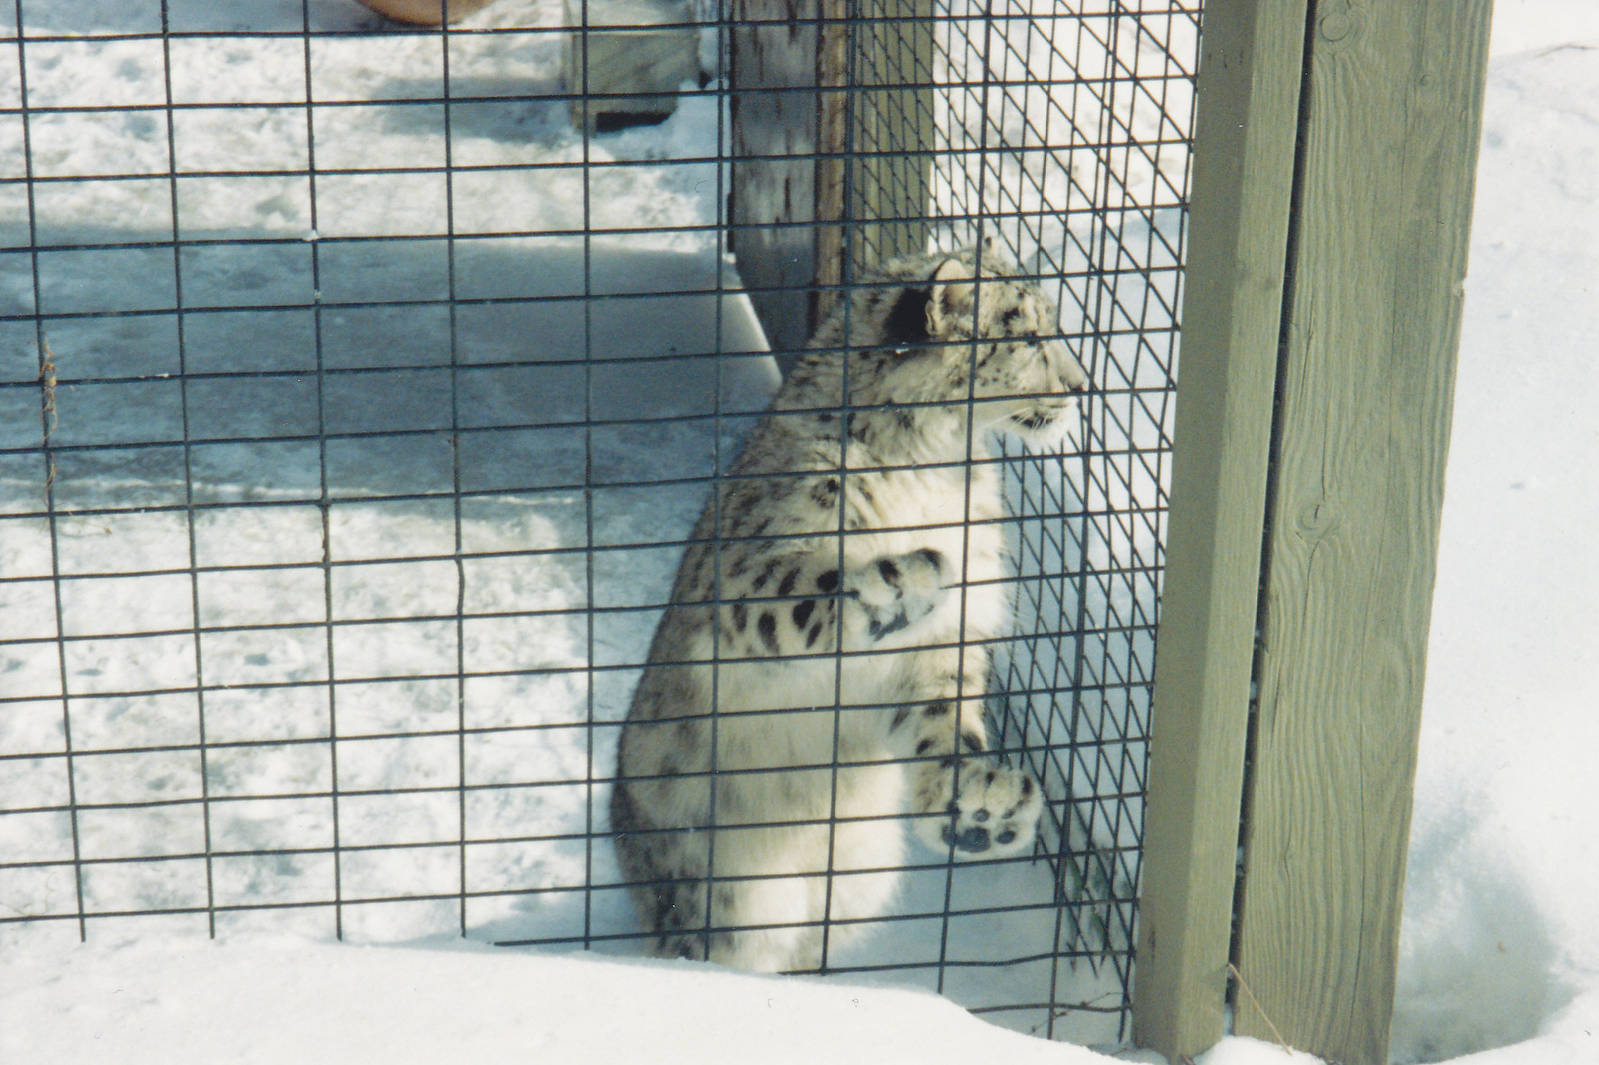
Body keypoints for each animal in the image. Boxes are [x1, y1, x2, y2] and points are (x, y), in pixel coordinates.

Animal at [609, 237, 1090, 973]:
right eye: (1030, 334)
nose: (1081, 388)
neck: (933, 468)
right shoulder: (748, 576)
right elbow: (797, 597)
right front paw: (902, 582)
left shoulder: (942, 646)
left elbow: (944, 718)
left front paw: (979, 804)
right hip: (726, 898)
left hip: (850, 892)